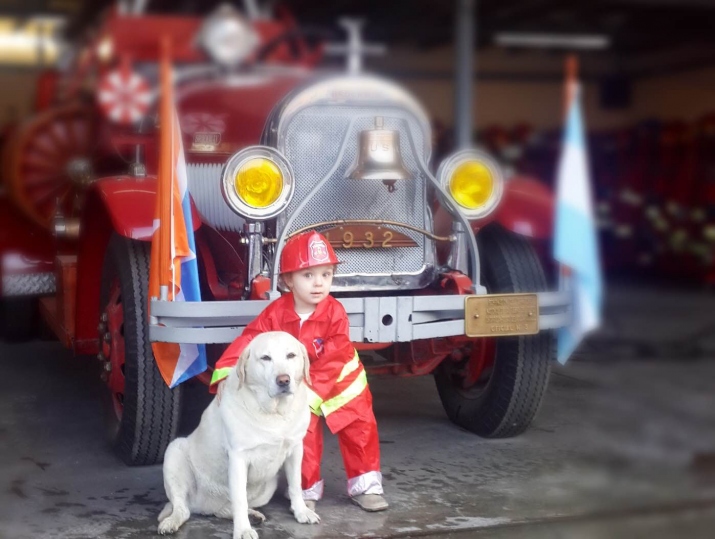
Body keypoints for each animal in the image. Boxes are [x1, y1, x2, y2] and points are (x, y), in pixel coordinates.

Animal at [161, 332, 324, 536]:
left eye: (291, 355)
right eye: (265, 358)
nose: (283, 380)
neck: (274, 412)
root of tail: (205, 506)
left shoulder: (295, 450)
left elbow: (296, 484)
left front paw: (301, 511)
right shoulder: (238, 458)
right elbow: (239, 499)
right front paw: (243, 530)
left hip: (268, 487)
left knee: (223, 510)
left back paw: (252, 515)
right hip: (174, 452)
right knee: (183, 508)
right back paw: (171, 522)